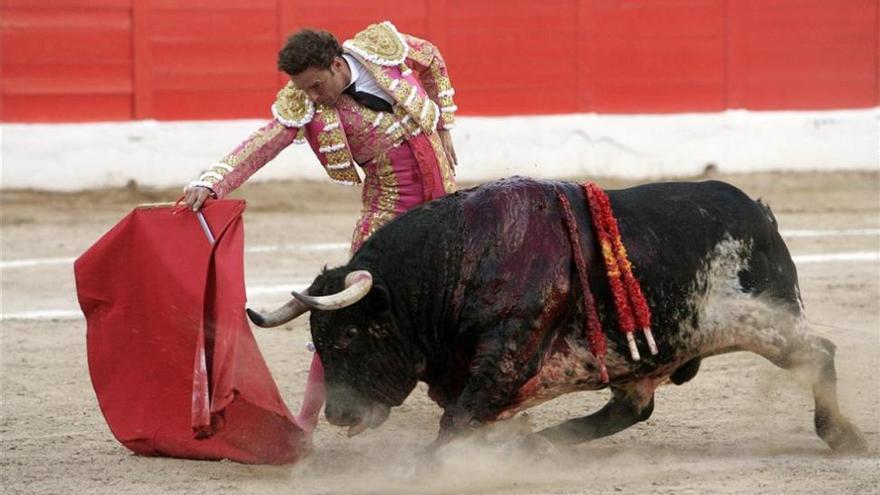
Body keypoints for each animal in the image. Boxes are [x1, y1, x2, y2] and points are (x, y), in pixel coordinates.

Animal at [249, 179, 868, 454]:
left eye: (351, 333)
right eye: (319, 340)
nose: (337, 414)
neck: (457, 260)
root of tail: (760, 212)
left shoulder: (508, 351)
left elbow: (459, 421)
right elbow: (465, 419)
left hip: (760, 322)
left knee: (819, 354)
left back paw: (844, 438)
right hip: (647, 358)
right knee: (630, 409)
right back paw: (547, 443)